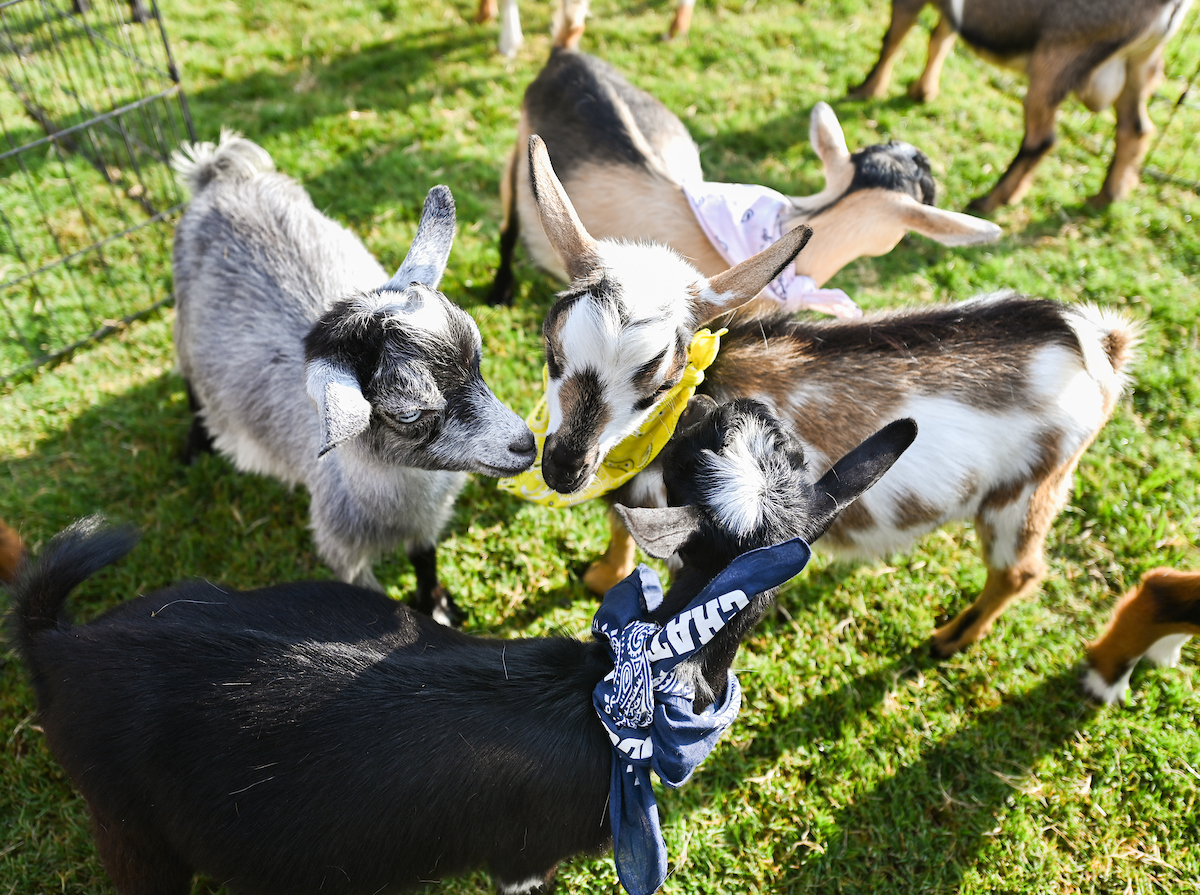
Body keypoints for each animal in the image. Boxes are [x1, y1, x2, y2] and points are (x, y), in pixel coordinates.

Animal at [10, 403, 917, 895]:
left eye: (787, 449)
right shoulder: (521, 859)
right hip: (130, 828)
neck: (627, 680)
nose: (713, 403)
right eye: (696, 453)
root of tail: (61, 644)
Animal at [172, 133, 535, 624]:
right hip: (184, 325)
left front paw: (437, 605)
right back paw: (194, 447)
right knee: (192, 385)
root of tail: (220, 175)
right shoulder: (343, 550)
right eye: (407, 412)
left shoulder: (427, 523)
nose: (526, 444)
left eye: (476, 360)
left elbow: (425, 559)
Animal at [488, 38, 1000, 307]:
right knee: (509, 223)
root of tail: (564, 52)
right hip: (518, 148)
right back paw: (499, 292)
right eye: (927, 184)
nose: (921, 156)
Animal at [518, 137, 1140, 656]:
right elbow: (618, 532)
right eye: (552, 349)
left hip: (1027, 493)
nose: (564, 468)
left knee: (1019, 572)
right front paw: (598, 575)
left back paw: (950, 640)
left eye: (660, 386)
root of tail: (1095, 341)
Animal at [848, 0, 1195, 212]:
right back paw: (1105, 197)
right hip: (1139, 64)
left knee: (1042, 139)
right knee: (1135, 129)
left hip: (1056, 58)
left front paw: (865, 89)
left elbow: (893, 39)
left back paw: (989, 201)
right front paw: (922, 92)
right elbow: (940, 37)